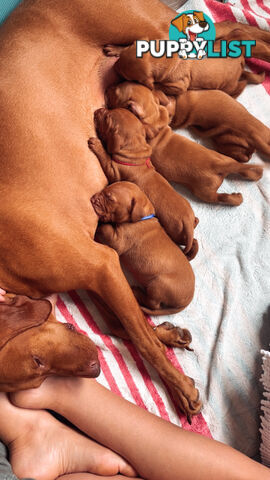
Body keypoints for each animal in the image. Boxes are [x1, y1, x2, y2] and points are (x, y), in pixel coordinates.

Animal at [89, 107, 199, 260]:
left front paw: (97, 145)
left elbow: (105, 158)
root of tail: (188, 223)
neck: (135, 149)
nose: (99, 109)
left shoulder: (114, 170)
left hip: (176, 233)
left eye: (106, 118)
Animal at [92, 180, 195, 322]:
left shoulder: (118, 241)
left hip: (159, 284)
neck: (143, 217)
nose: (93, 198)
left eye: (110, 198)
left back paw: (137, 292)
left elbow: (105, 229)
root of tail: (188, 301)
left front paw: (99, 223)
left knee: (154, 304)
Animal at [105, 81, 264, 204]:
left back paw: (235, 199)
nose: (108, 87)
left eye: (116, 92)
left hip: (205, 192)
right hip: (226, 159)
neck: (154, 119)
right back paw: (253, 175)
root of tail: (220, 166)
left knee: (220, 198)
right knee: (244, 170)